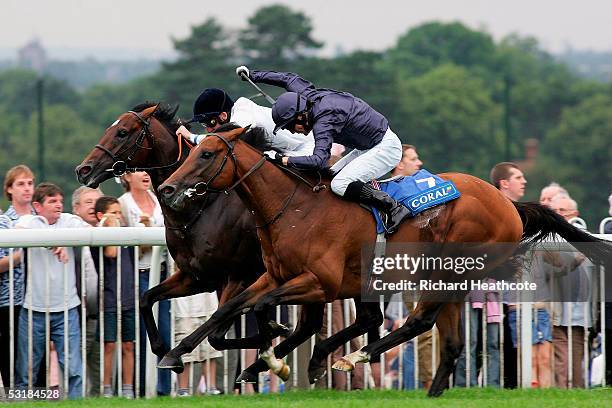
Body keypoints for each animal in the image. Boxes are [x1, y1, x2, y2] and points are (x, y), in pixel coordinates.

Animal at [159, 125, 612, 396]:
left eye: (206, 154)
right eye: (193, 149)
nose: (166, 188)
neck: (294, 208)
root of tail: (509, 204)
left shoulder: (320, 281)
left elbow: (266, 309)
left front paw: (272, 353)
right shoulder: (273, 275)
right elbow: (232, 308)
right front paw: (176, 353)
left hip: (446, 273)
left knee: (419, 322)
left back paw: (355, 356)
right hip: (445, 279)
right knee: (447, 342)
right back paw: (425, 390)